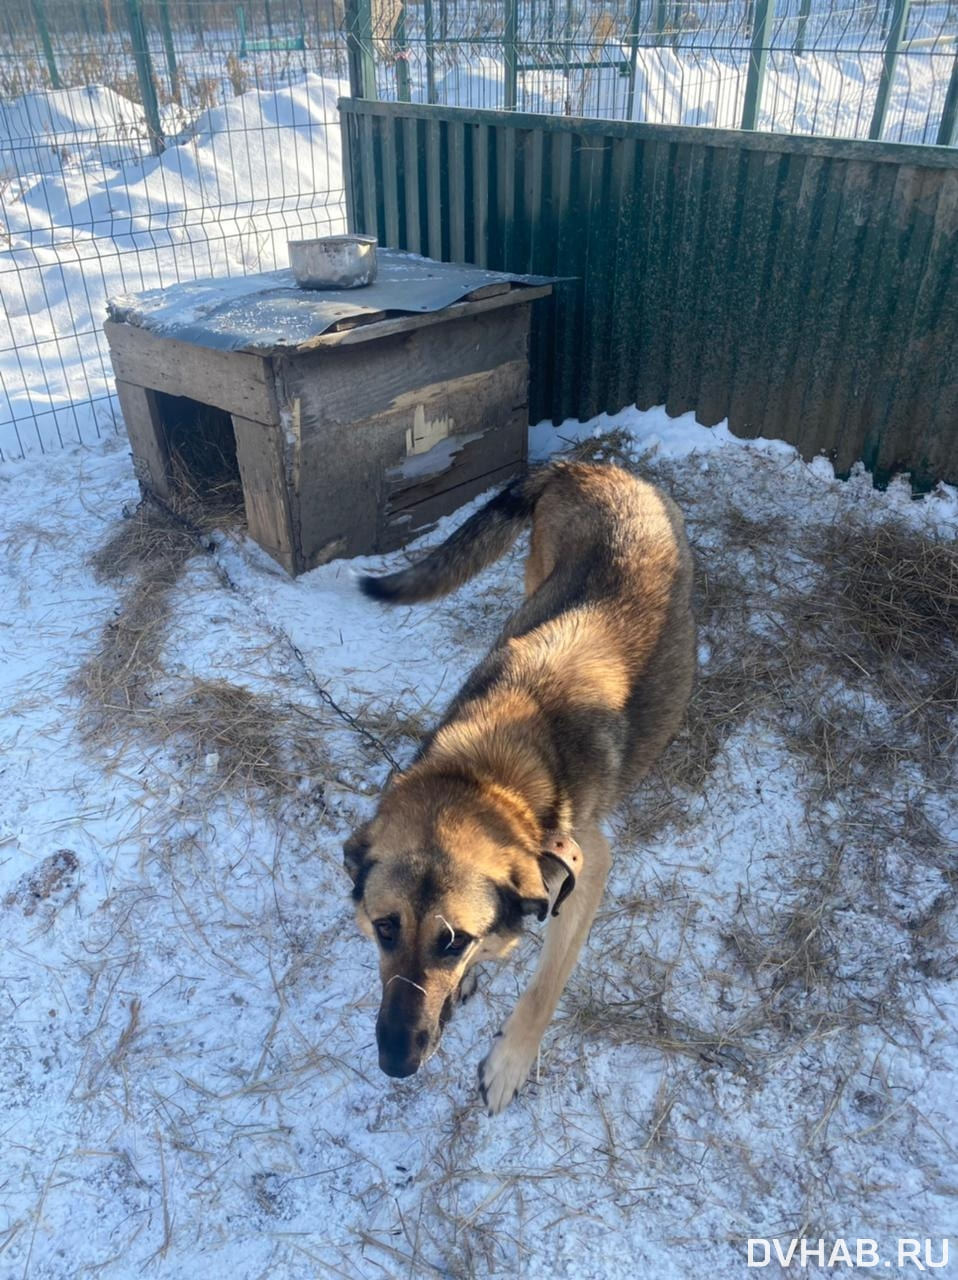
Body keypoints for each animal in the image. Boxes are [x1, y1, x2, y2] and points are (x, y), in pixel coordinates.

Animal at [343, 458, 696, 1111]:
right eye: (384, 928)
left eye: (452, 940)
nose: (396, 1064)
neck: (486, 776)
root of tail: (591, 465)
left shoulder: (590, 867)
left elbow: (545, 983)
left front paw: (509, 1060)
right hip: (538, 572)